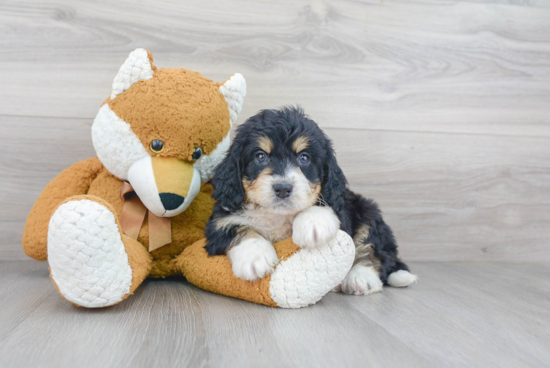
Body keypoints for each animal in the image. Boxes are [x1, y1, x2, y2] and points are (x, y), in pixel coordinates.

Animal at [206, 107, 418, 296]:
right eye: (260, 156)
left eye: (304, 158)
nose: (283, 188)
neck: (277, 216)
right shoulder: (219, 220)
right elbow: (234, 227)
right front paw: (254, 256)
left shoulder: (341, 204)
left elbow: (323, 205)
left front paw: (313, 224)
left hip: (367, 210)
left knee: (375, 252)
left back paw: (360, 278)